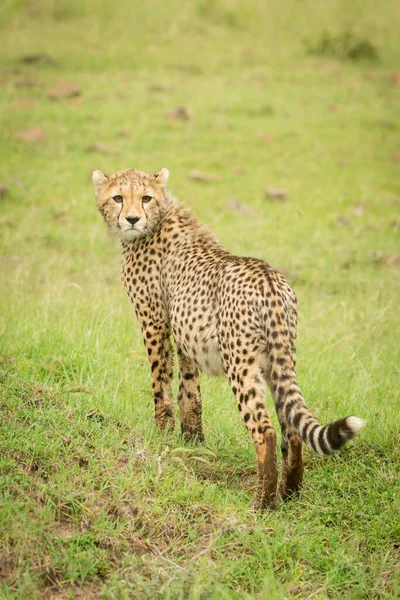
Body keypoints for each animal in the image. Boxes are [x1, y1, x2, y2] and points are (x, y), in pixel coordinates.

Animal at [93, 166, 366, 508]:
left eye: (145, 198)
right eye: (118, 197)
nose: (131, 219)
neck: (159, 216)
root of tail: (269, 277)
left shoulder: (154, 321)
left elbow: (161, 385)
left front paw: (162, 434)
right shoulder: (186, 333)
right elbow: (189, 391)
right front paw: (192, 441)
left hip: (240, 364)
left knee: (265, 430)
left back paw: (263, 503)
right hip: (279, 359)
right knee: (291, 428)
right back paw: (289, 494)